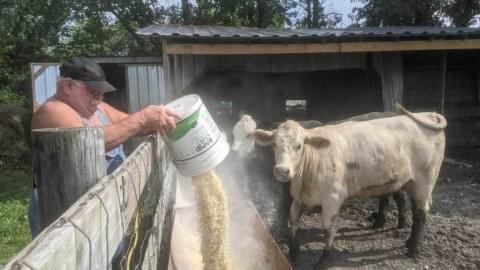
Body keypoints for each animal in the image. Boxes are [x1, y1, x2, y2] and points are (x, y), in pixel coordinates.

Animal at [251, 105, 446, 266]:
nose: (282, 170)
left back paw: (413, 249)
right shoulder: (297, 197)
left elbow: (328, 228)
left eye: (299, 146)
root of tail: (427, 114)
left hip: (425, 181)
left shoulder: (332, 199)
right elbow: (293, 221)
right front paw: (293, 251)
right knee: (411, 206)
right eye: (274, 144)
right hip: (409, 181)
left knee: (421, 214)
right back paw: (407, 238)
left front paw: (325, 259)